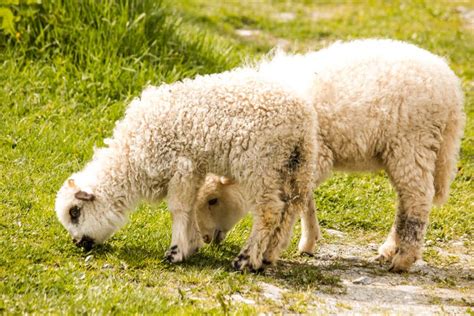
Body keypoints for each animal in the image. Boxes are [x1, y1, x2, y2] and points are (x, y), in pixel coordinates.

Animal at [54, 68, 318, 272]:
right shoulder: (195, 168)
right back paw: (268, 256)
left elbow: (179, 208)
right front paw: (191, 244)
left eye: (75, 212)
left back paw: (246, 259)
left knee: (270, 211)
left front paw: (176, 252)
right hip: (295, 166)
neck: (131, 158)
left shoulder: (183, 166)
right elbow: (189, 207)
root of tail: (302, 119)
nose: (78, 243)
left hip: (261, 166)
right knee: (290, 207)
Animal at [193, 39, 466, 272]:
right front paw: (309, 241)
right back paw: (389, 249)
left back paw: (403, 258)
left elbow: (292, 203)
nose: (206, 238)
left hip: (411, 143)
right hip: (401, 150)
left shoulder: (308, 157)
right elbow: (305, 201)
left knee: (418, 198)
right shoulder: (307, 162)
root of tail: (452, 89)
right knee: (405, 200)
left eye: (213, 200)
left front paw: (270, 252)